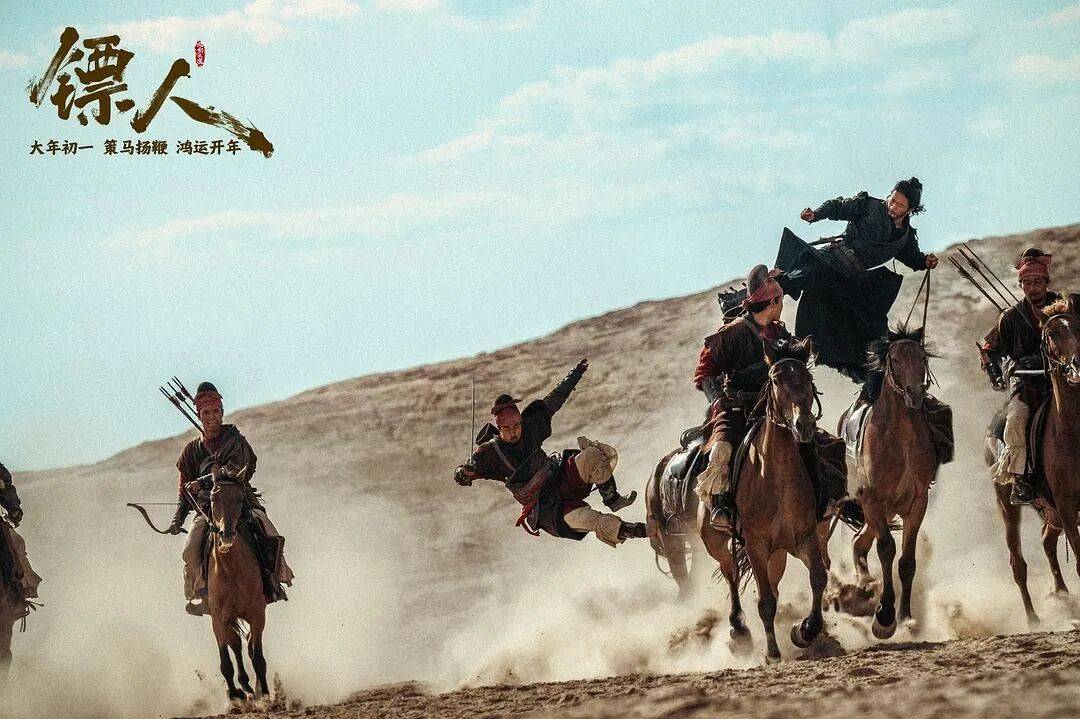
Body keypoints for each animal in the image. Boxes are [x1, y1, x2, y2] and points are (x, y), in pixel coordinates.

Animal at [207, 476, 270, 705]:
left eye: (240, 499)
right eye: (213, 499)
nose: (226, 535)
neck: (231, 569)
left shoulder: (257, 612)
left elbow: (258, 656)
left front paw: (266, 695)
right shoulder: (218, 618)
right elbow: (225, 661)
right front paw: (235, 694)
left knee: (249, 645)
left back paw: (256, 689)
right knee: (236, 645)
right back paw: (245, 686)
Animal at [697, 336, 829, 662]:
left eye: (807, 378)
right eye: (776, 379)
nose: (803, 425)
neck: (775, 477)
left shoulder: (805, 537)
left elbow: (818, 577)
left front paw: (805, 631)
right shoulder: (755, 545)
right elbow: (765, 601)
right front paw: (772, 652)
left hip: (777, 554)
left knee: (772, 583)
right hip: (718, 544)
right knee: (731, 575)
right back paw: (739, 631)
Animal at [839, 326, 939, 638]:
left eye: (921, 357)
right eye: (894, 359)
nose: (915, 394)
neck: (899, 439)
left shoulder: (917, 503)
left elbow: (907, 560)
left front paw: (906, 616)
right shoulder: (874, 500)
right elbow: (886, 550)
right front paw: (884, 616)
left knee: (859, 543)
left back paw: (863, 587)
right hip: (871, 509)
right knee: (862, 543)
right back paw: (862, 590)